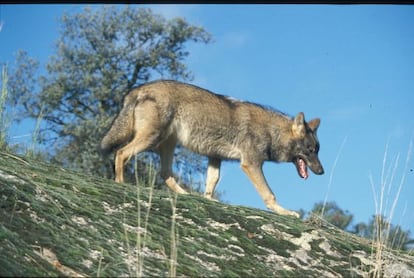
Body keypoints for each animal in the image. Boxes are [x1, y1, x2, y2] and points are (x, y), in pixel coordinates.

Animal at [99, 79, 324, 218]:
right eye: (310, 150)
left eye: (317, 149)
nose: (322, 171)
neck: (271, 132)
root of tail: (138, 89)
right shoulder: (251, 164)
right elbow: (269, 194)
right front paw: (284, 211)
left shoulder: (215, 158)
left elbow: (211, 183)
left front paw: (208, 201)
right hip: (151, 139)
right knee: (121, 153)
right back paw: (120, 183)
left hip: (167, 144)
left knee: (165, 173)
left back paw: (185, 194)